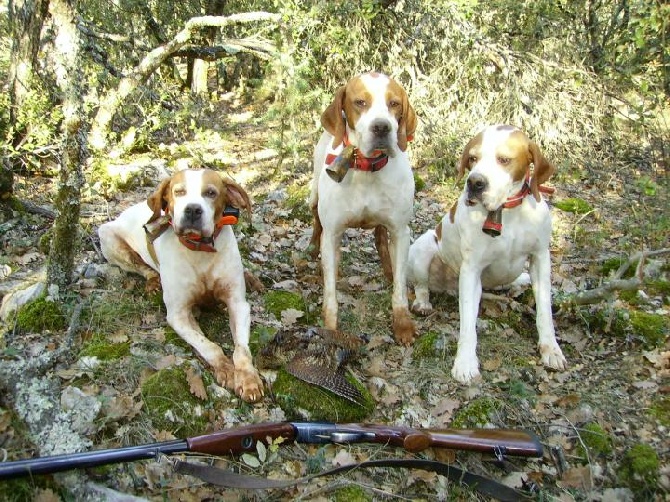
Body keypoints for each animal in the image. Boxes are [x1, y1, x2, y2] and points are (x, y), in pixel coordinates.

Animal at [99, 171, 266, 402]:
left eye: (211, 193)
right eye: (178, 191)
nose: (193, 210)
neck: (200, 251)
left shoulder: (237, 304)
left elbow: (241, 349)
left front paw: (248, 379)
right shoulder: (178, 315)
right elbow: (208, 345)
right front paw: (225, 369)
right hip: (107, 236)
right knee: (140, 265)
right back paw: (152, 280)